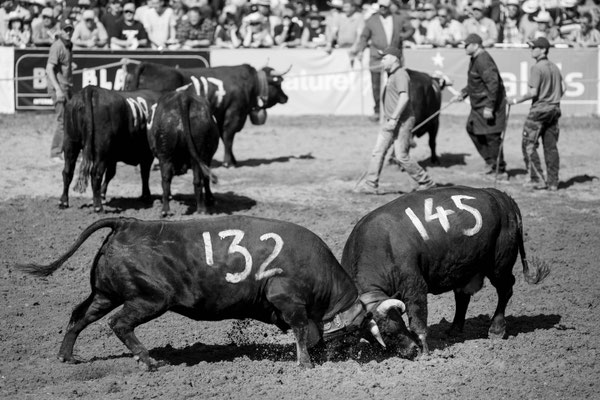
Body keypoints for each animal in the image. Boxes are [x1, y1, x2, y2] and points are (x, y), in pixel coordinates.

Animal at [17, 217, 390, 370]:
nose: (346, 355)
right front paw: (306, 363)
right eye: (357, 332)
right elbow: (302, 332)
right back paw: (148, 360)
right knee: (120, 325)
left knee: (80, 316)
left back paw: (67, 356)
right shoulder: (289, 301)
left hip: (105, 294)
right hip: (150, 298)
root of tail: (128, 224)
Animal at [125, 62, 290, 167]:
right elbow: (228, 138)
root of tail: (147, 65)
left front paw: (233, 160)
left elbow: (225, 138)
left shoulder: (223, 115)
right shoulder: (234, 113)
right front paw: (228, 162)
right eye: (278, 83)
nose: (286, 97)